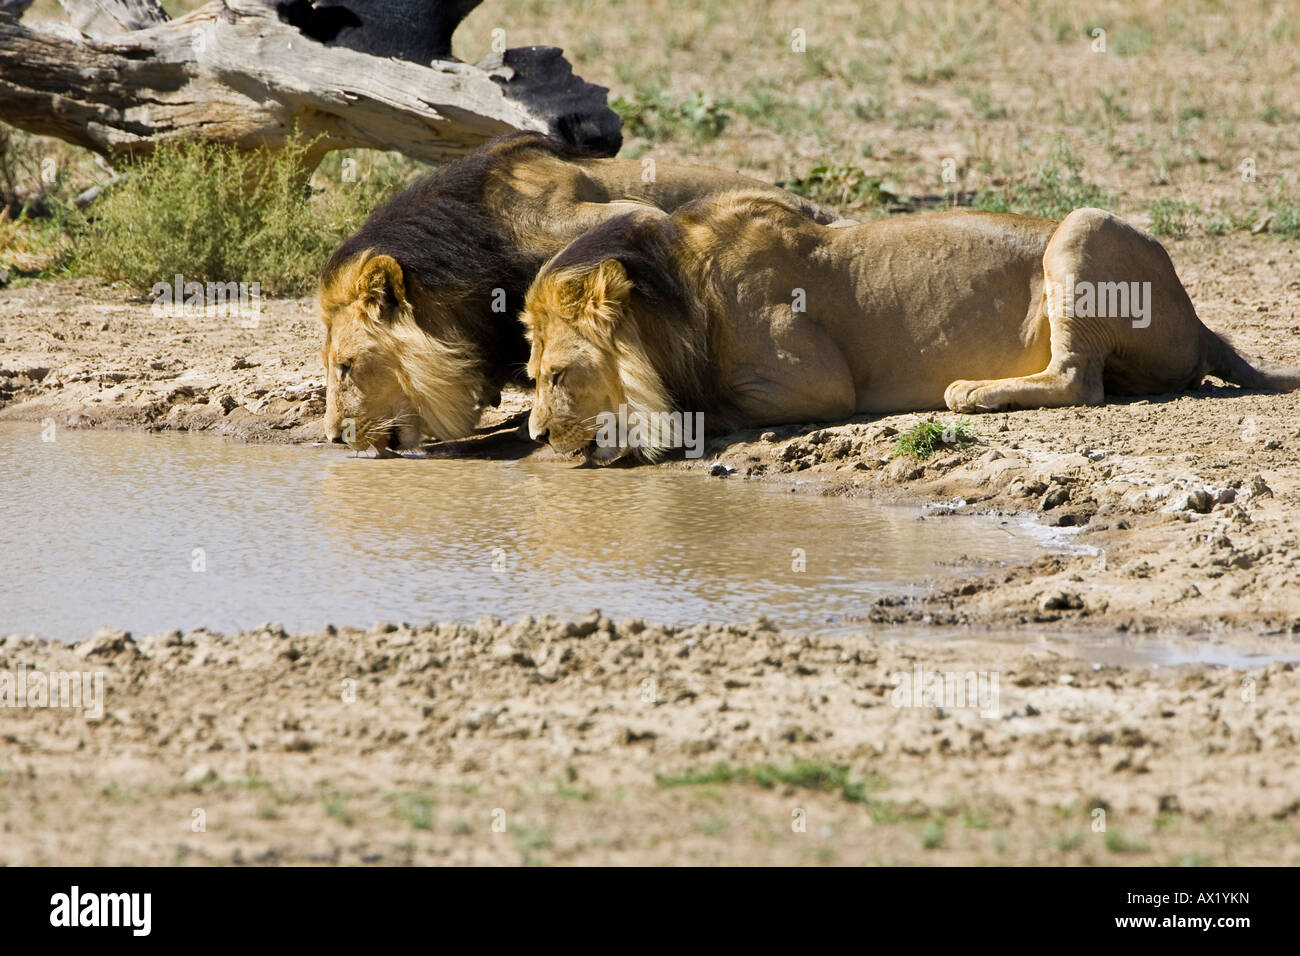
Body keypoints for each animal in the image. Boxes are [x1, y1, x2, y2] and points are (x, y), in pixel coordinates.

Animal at [520, 191, 1300, 463]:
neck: (677, 295)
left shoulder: (817, 384)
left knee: (1080, 380)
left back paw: (973, 393)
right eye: (529, 376)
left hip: (1084, 229)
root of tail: (1200, 321)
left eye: (558, 375)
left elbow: (702, 404)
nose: (537, 435)